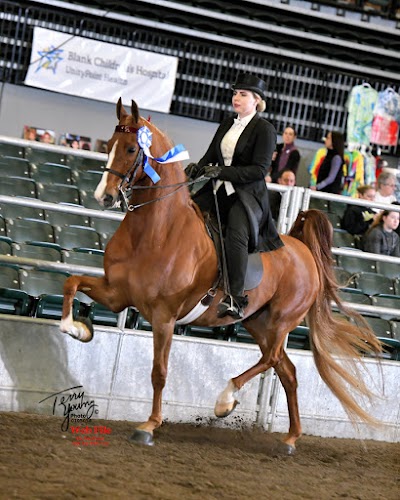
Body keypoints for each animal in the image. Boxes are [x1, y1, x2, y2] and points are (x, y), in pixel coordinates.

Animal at [59, 98, 382, 454]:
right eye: (110, 144)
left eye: (132, 148)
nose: (103, 196)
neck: (155, 231)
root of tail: (303, 249)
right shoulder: (117, 294)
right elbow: (71, 282)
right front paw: (76, 328)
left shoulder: (164, 315)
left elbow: (159, 371)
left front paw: (149, 425)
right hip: (257, 322)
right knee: (287, 370)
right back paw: (290, 438)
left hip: (280, 321)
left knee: (271, 359)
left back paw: (226, 400)